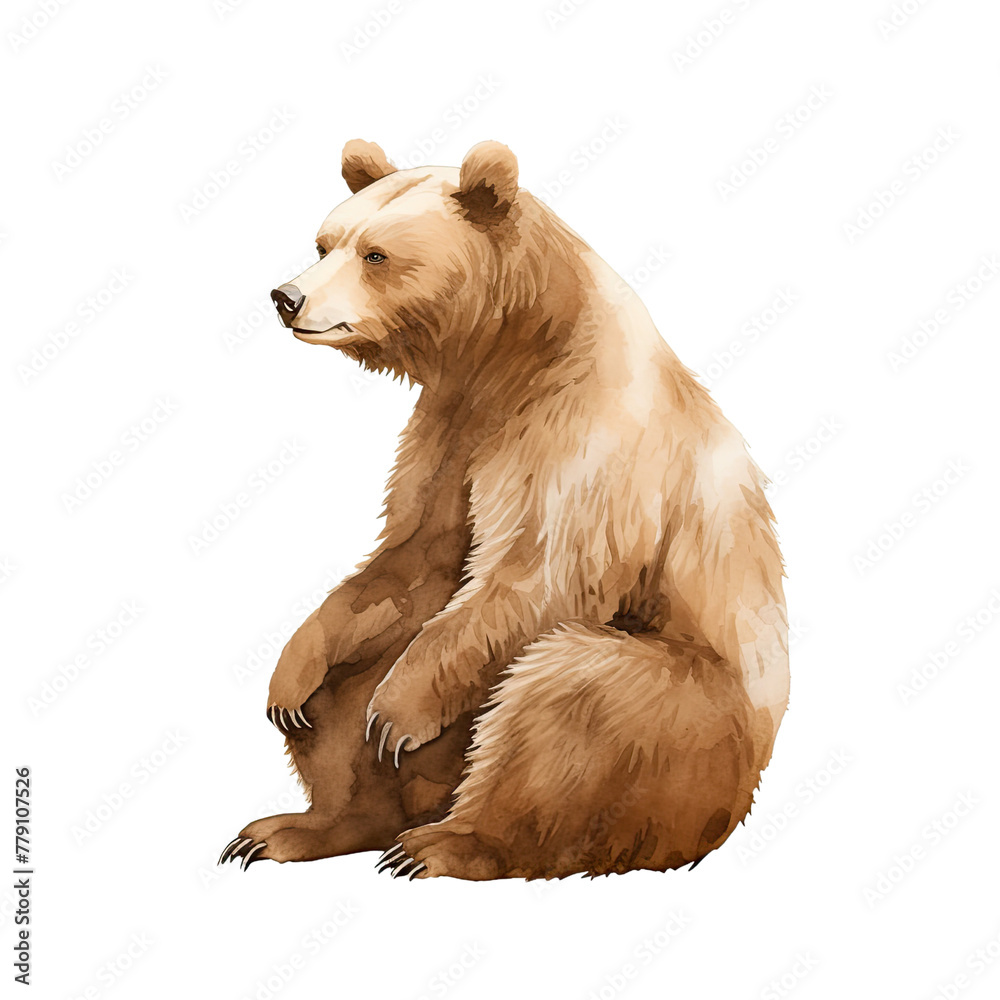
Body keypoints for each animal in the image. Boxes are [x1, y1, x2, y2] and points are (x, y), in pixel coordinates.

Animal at [218, 139, 789, 880]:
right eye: (323, 241)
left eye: (376, 254)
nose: (287, 297)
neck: (505, 355)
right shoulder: (451, 430)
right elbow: (414, 557)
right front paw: (291, 677)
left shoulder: (580, 437)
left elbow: (534, 573)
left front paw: (397, 713)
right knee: (351, 697)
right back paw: (300, 827)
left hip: (691, 726)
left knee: (568, 695)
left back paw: (449, 842)